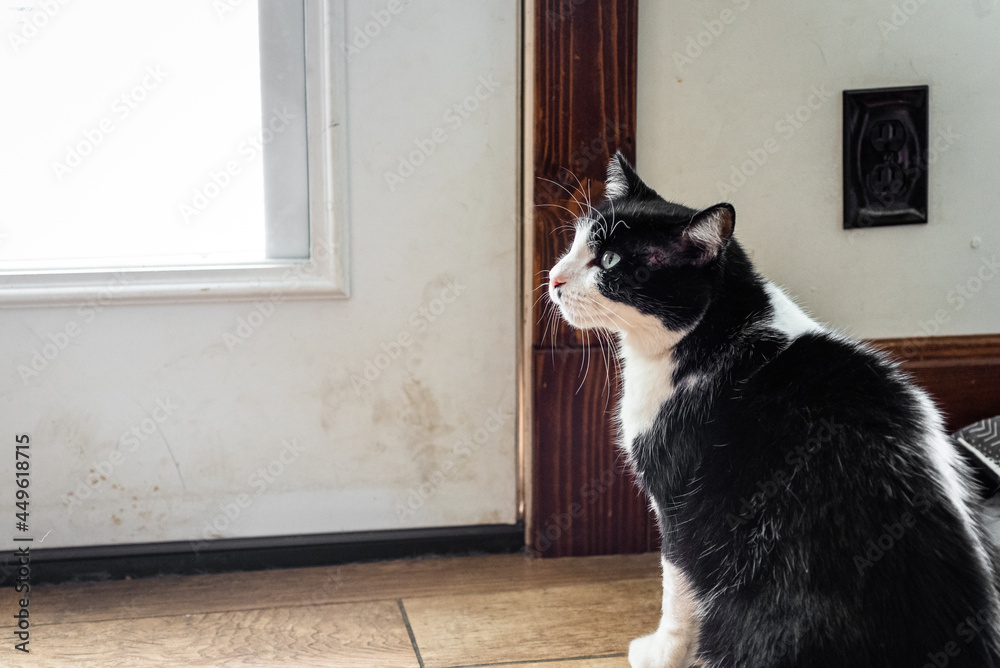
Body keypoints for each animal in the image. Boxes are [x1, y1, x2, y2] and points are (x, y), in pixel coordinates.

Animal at [548, 154, 1000, 664]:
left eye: (609, 261)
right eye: (576, 242)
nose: (554, 278)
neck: (716, 338)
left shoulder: (679, 499)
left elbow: (677, 588)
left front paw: (662, 653)